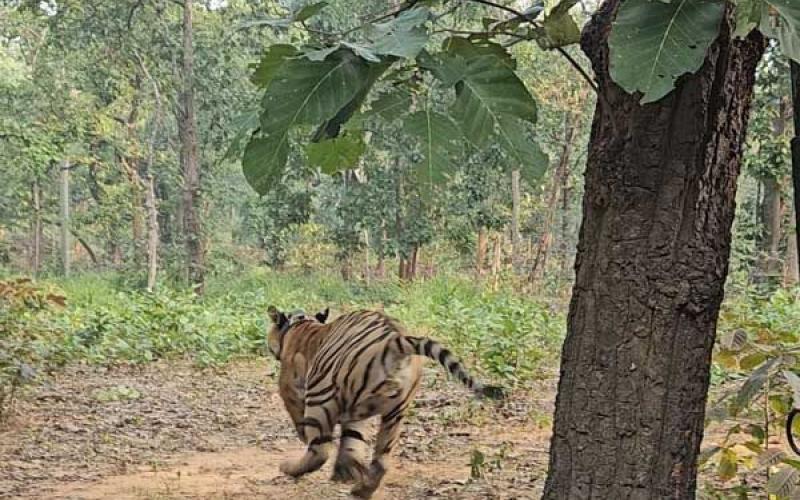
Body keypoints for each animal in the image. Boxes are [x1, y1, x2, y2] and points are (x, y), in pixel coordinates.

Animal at [266, 306, 504, 499]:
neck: (300, 324)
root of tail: (395, 340)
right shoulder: (355, 414)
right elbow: (352, 441)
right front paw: (345, 472)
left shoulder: (289, 387)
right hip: (395, 412)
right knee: (380, 461)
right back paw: (360, 490)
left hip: (320, 395)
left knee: (320, 451)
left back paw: (289, 467)